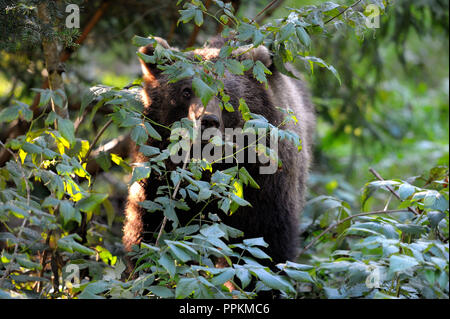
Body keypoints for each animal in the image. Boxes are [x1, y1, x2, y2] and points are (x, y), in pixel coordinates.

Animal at [121, 36, 314, 268]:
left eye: (224, 93)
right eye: (186, 91)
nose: (208, 120)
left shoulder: (264, 187)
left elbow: (265, 245)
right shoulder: (159, 179)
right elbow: (149, 227)